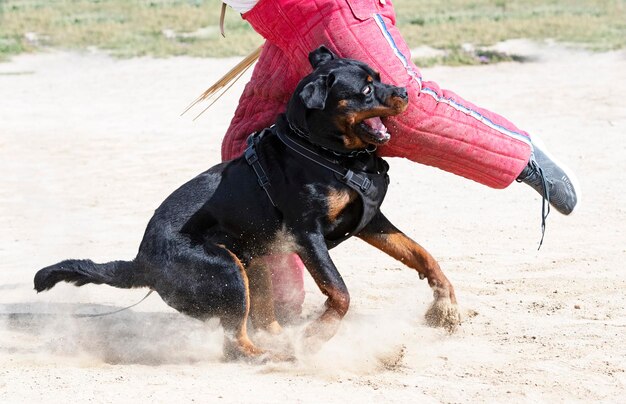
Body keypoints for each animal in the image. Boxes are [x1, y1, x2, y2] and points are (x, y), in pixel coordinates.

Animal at [36, 47, 460, 360]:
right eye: (367, 90)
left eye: (380, 78)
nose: (404, 92)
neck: (328, 153)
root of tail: (141, 261)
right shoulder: (307, 234)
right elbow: (339, 292)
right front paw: (319, 335)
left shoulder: (371, 221)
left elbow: (421, 254)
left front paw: (446, 305)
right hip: (226, 271)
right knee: (233, 340)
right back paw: (270, 355)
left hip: (251, 260)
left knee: (259, 317)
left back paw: (279, 341)